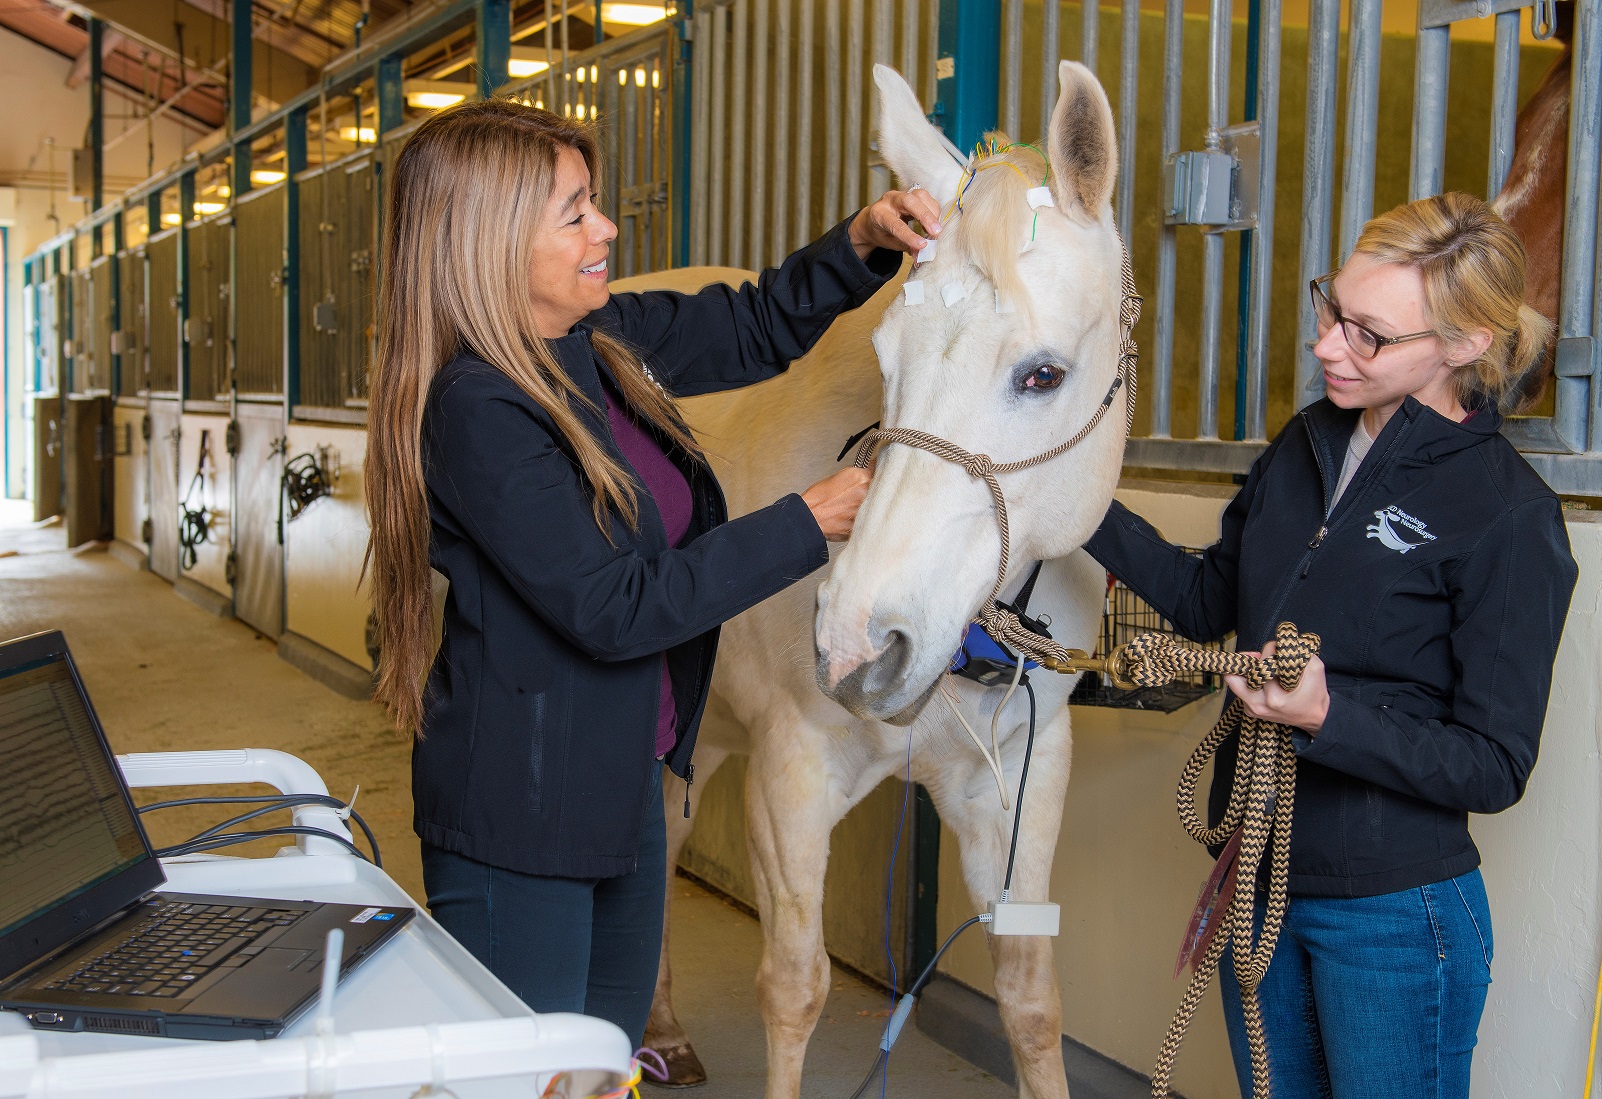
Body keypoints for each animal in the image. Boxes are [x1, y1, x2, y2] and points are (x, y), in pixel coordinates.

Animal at [631, 62, 1134, 1099]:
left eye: (1043, 373)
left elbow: (1031, 1001)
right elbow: (794, 987)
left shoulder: (1022, 780)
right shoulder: (792, 768)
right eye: (884, 360)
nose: (861, 644)